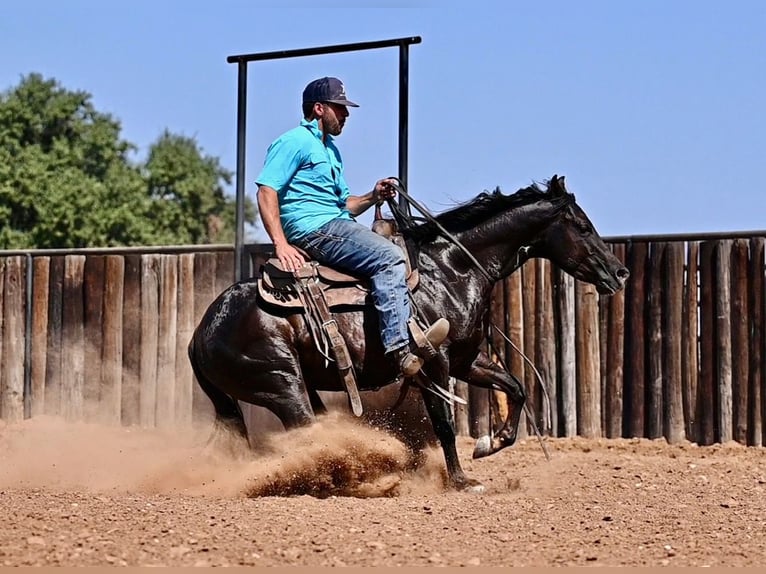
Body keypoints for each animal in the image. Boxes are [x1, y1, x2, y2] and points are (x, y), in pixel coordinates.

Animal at [188, 176, 632, 490]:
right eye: (581, 226)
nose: (620, 272)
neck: (453, 270)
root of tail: (201, 331)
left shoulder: (466, 359)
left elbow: (516, 387)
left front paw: (490, 444)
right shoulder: (433, 363)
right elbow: (444, 423)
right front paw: (462, 481)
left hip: (299, 388)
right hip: (282, 385)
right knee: (307, 436)